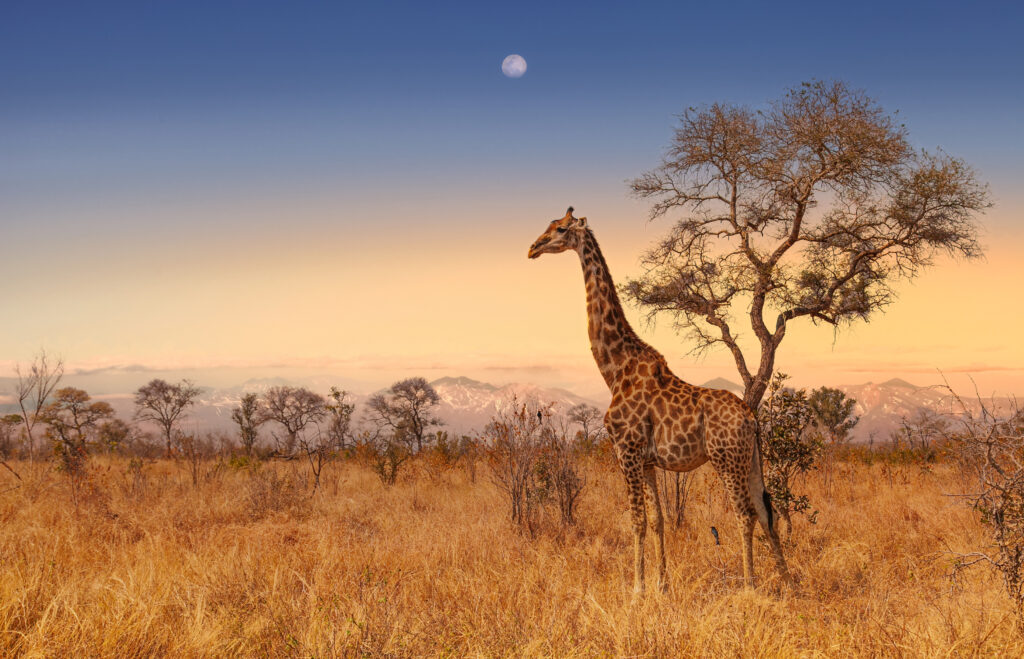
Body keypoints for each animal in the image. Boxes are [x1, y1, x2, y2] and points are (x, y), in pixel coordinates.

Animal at [528, 204, 790, 593]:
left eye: (560, 229)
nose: (533, 248)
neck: (614, 369)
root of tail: (751, 418)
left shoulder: (626, 451)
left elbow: (636, 521)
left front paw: (637, 588)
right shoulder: (648, 460)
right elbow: (658, 520)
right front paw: (661, 586)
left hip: (726, 458)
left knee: (744, 514)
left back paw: (749, 586)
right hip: (752, 459)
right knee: (765, 510)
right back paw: (790, 582)